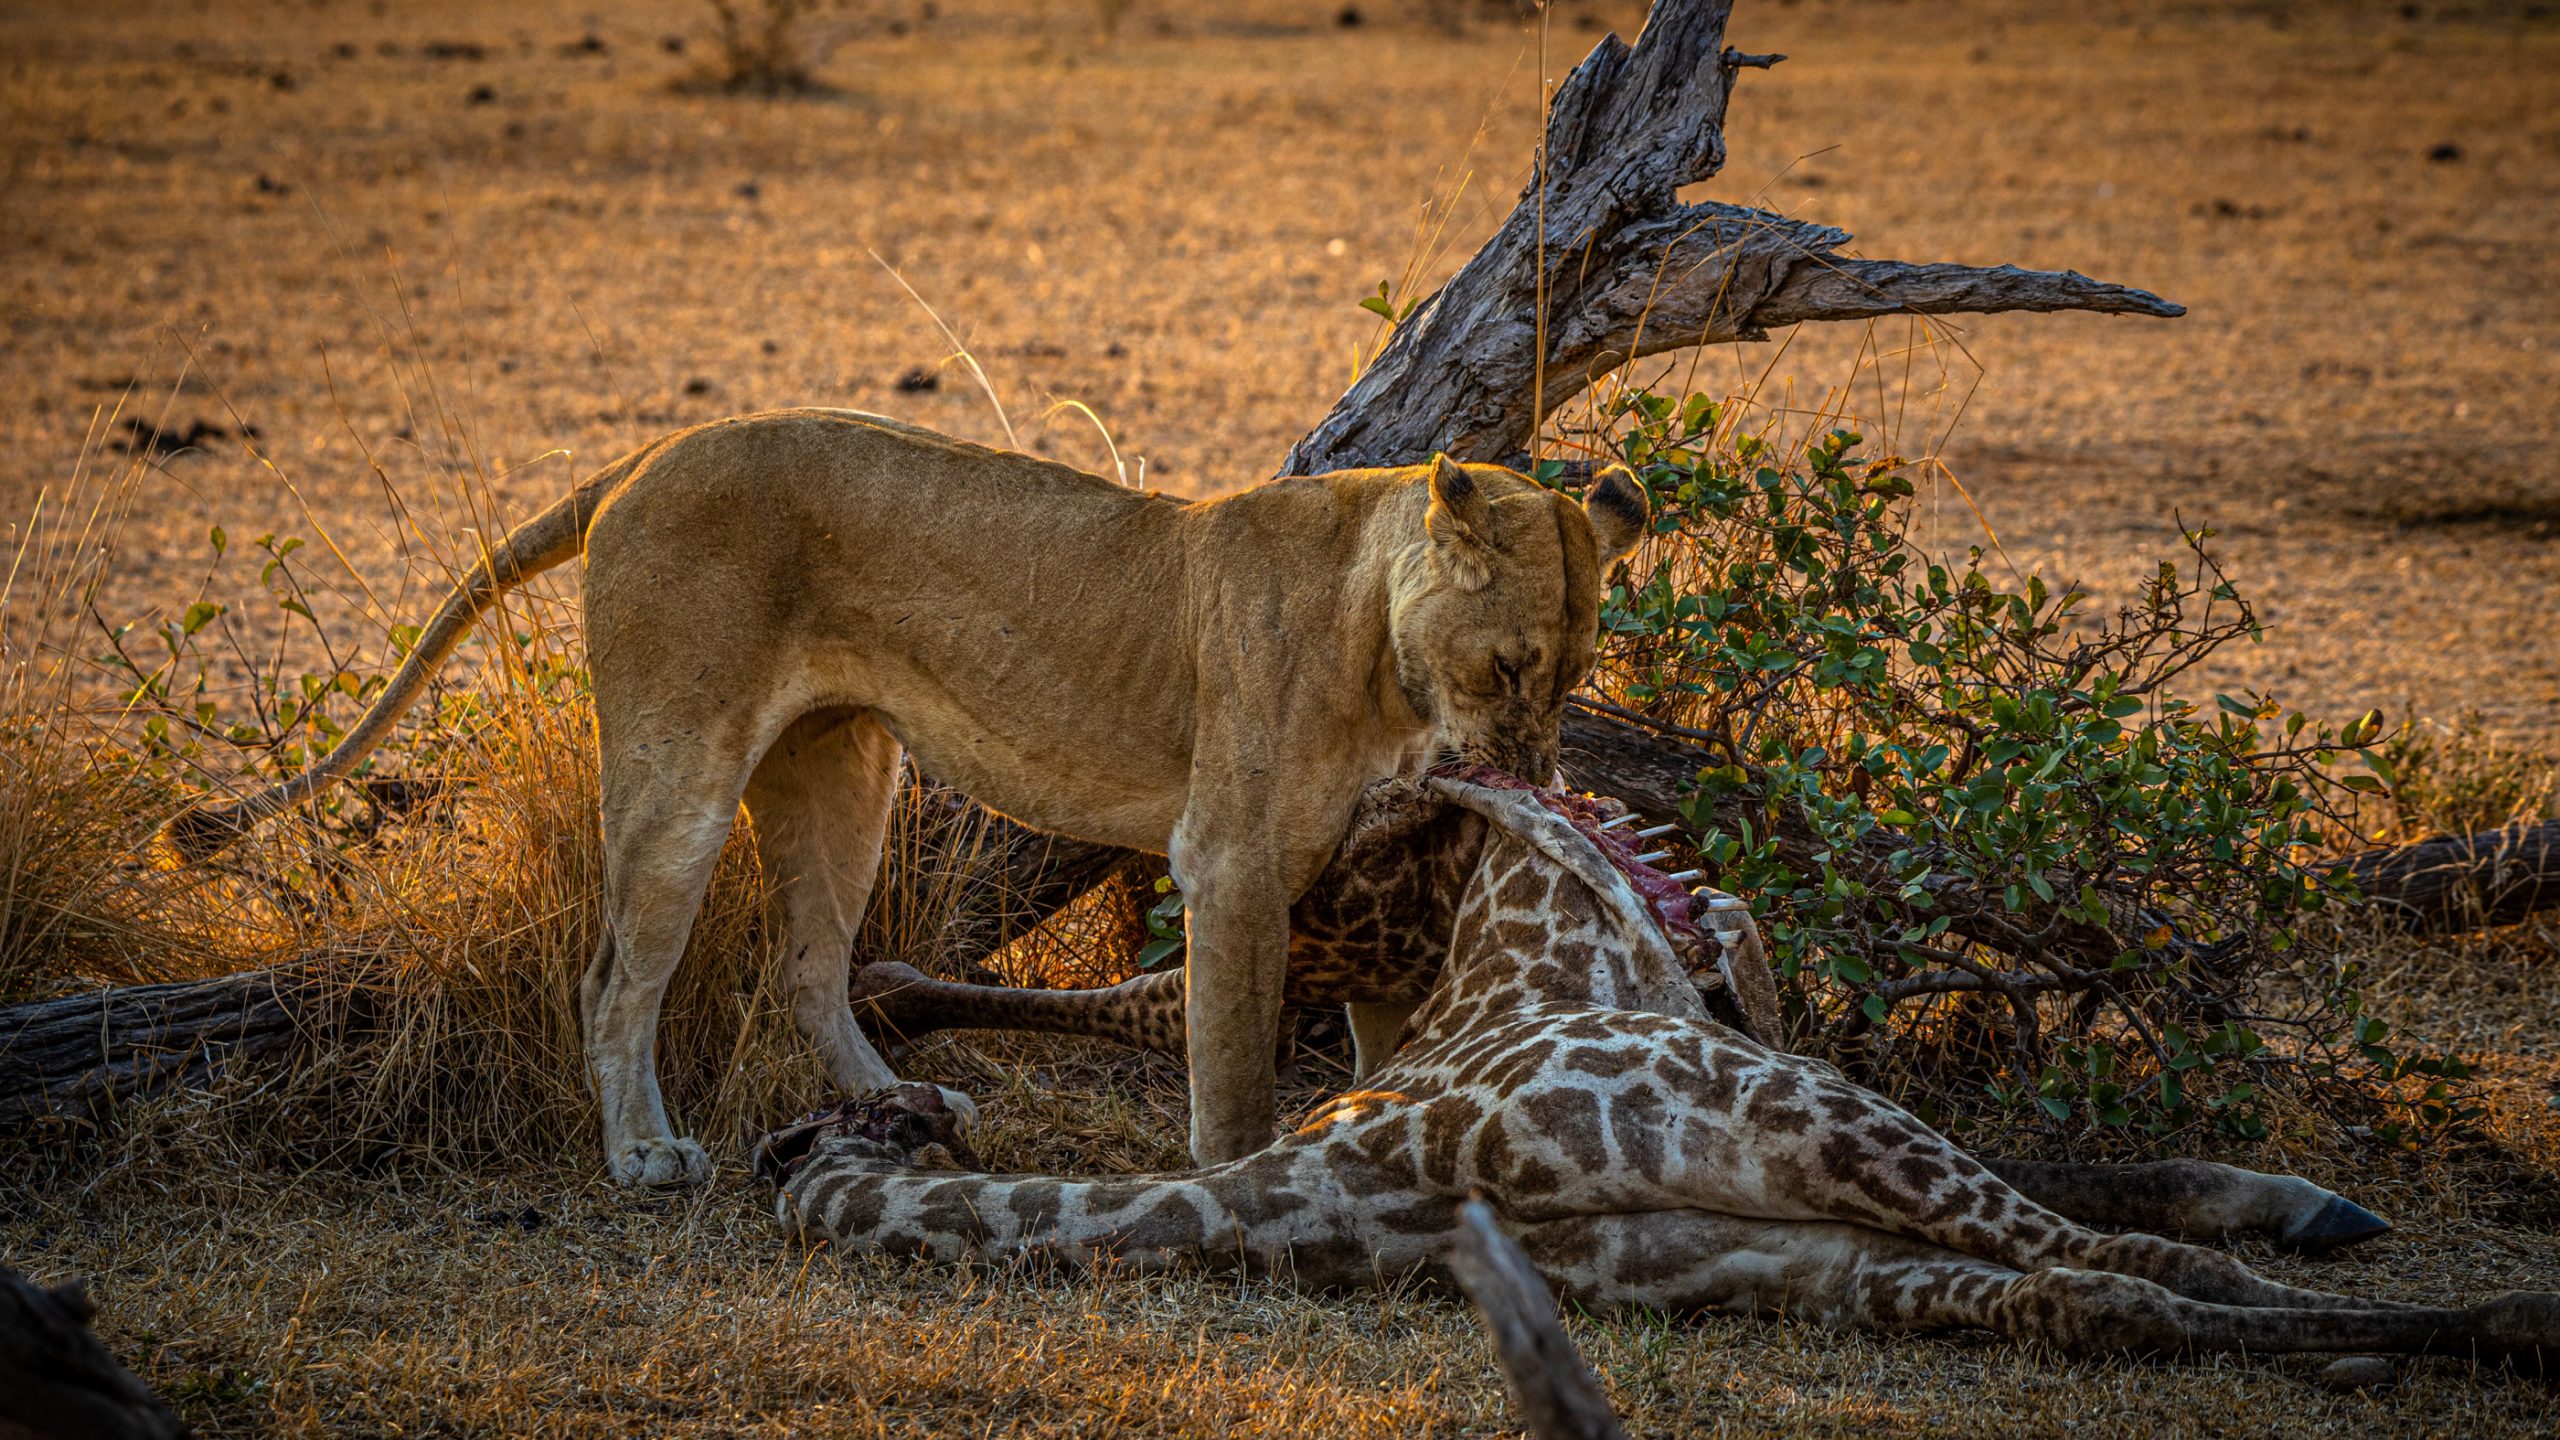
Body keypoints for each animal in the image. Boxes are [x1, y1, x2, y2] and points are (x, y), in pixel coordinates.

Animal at [760, 775, 2560, 1368]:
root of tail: (1353, 1174)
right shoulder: (1772, 1078)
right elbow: (2110, 1194)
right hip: (1808, 1147)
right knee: (2119, 1265)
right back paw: (2473, 1313)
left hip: (1754, 1257)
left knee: (2090, 1293)